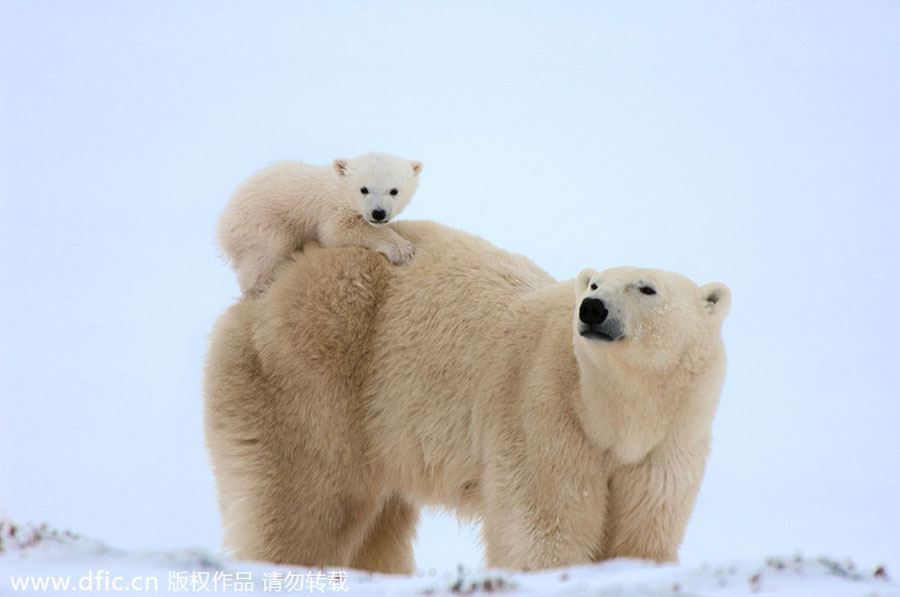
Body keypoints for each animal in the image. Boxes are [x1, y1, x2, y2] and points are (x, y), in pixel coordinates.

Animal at [203, 220, 731, 572]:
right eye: (597, 282)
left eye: (647, 288)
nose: (592, 308)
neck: (613, 410)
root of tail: (287, 268)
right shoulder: (545, 412)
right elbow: (546, 524)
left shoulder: (670, 441)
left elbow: (645, 526)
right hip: (315, 376)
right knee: (308, 500)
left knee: (378, 523)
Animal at [217, 152, 423, 296]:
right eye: (364, 189)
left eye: (394, 190)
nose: (378, 213)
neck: (341, 185)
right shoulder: (333, 206)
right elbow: (338, 231)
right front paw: (401, 249)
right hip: (258, 223)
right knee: (268, 252)